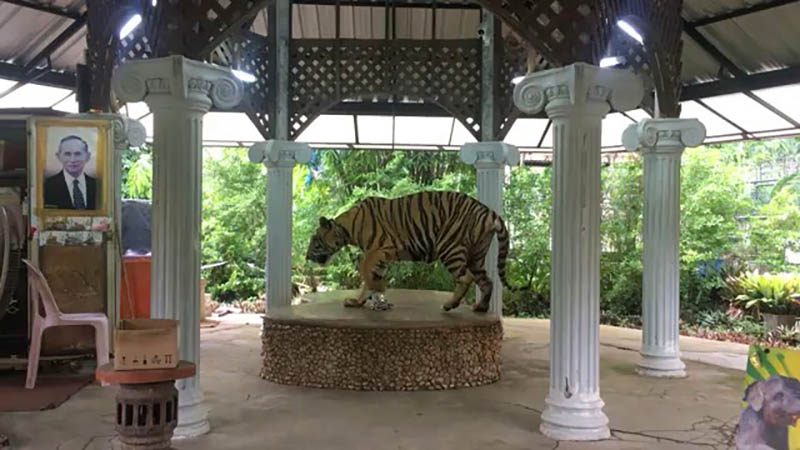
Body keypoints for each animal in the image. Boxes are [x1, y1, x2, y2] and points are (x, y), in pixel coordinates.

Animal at [306, 190, 512, 312]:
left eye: (315, 243)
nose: (307, 257)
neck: (347, 228)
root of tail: (488, 211)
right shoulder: (382, 256)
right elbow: (371, 277)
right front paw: (361, 300)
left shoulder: (381, 248)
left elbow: (364, 269)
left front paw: (377, 290)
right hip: (476, 256)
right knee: (487, 282)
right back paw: (481, 307)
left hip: (449, 246)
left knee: (466, 277)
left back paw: (450, 304)